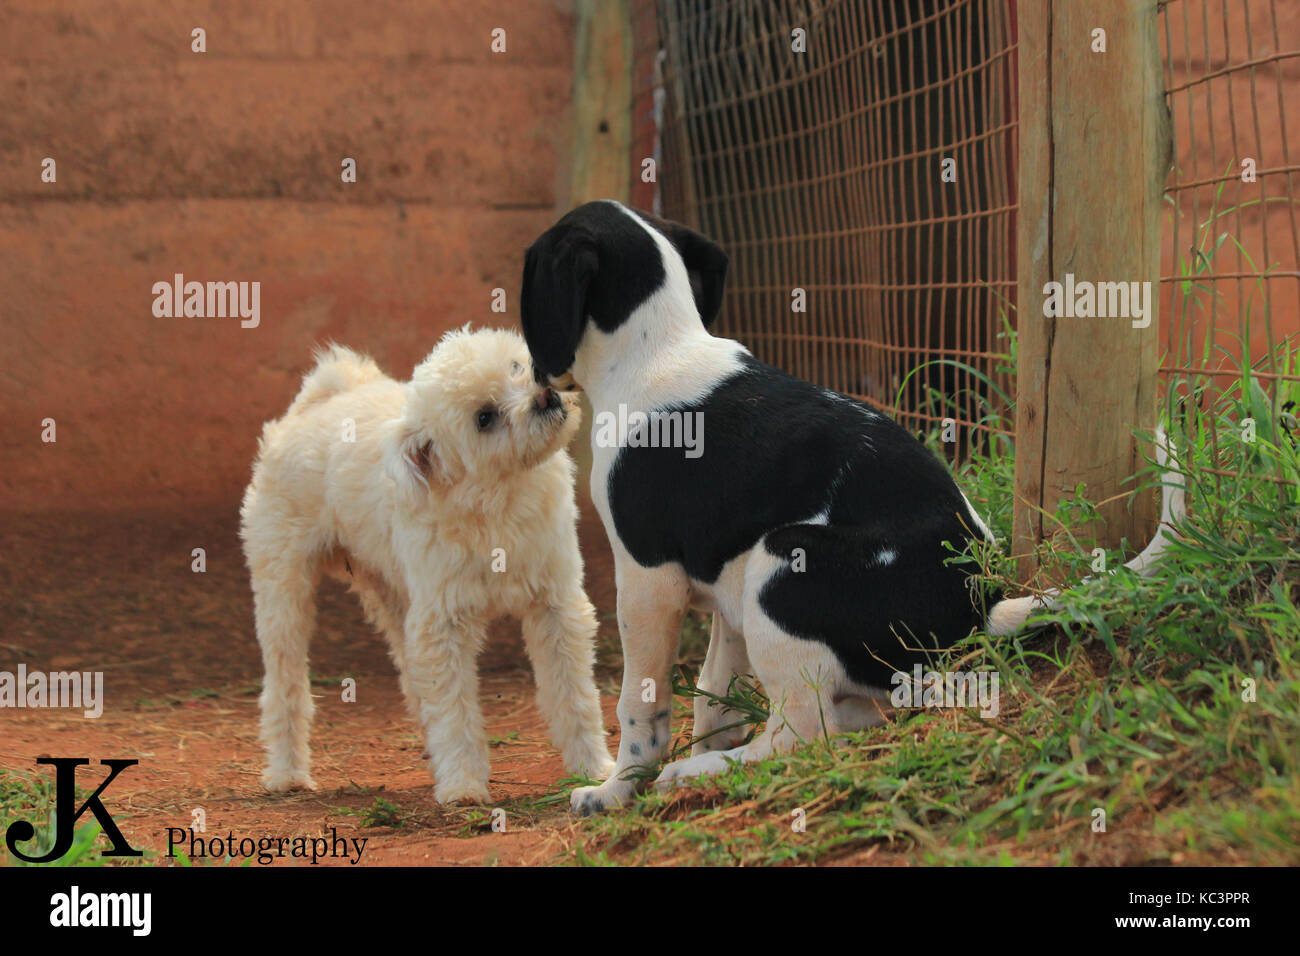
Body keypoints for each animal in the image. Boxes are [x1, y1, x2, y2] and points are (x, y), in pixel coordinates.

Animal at [243, 325, 613, 806]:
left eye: (517, 366)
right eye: (484, 418)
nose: (545, 396)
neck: (497, 500)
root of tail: (318, 402)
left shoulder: (556, 608)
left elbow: (574, 696)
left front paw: (594, 768)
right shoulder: (443, 626)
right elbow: (454, 711)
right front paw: (463, 785)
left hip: (393, 597)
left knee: (411, 678)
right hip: (284, 590)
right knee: (285, 685)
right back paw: (287, 773)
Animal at [520, 201, 1190, 816]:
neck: (657, 349)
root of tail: (980, 605)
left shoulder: (647, 581)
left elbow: (640, 703)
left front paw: (616, 790)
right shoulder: (722, 582)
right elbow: (713, 690)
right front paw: (701, 747)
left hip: (781, 562)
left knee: (801, 734)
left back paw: (697, 773)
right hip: (766, 584)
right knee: (849, 715)